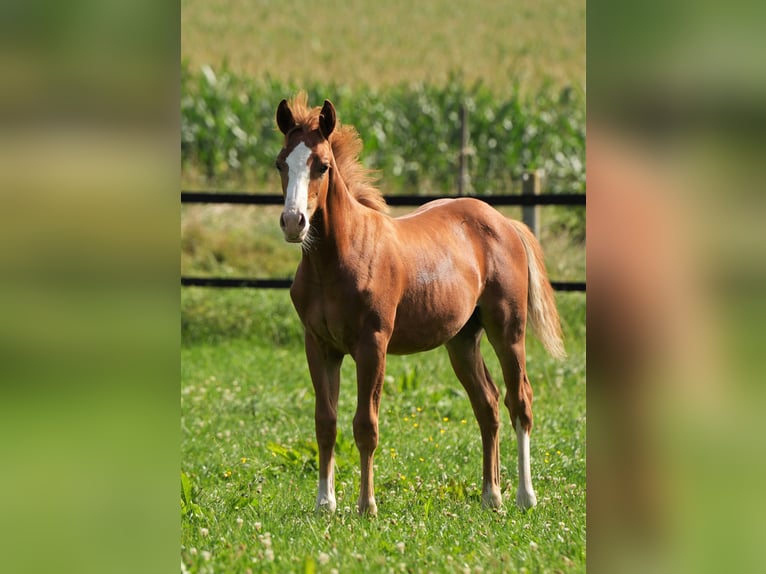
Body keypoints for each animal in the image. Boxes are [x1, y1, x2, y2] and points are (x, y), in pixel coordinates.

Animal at [274, 93, 564, 516]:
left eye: (322, 166)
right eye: (281, 163)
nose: (294, 222)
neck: (337, 259)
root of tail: (505, 222)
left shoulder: (372, 345)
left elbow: (366, 425)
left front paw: (366, 505)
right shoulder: (320, 345)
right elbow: (325, 422)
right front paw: (324, 504)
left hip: (508, 331)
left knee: (519, 401)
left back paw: (525, 497)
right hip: (462, 341)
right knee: (488, 404)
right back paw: (491, 495)